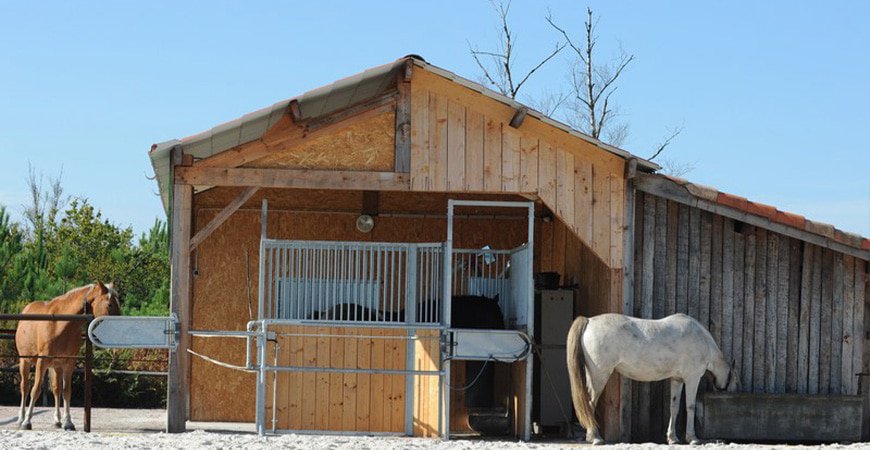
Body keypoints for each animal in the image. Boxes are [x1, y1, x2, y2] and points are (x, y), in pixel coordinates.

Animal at [15, 284, 121, 430]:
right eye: (110, 304)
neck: (60, 324)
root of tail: (27, 308)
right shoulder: (42, 362)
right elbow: (35, 390)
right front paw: (27, 422)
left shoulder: (68, 363)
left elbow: (66, 391)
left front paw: (68, 422)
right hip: (24, 361)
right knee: (24, 387)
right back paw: (21, 419)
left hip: (56, 366)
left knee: (56, 389)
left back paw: (57, 420)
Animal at [568, 314, 740, 444]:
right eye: (736, 380)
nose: (734, 393)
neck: (702, 339)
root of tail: (589, 321)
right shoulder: (692, 378)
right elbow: (690, 407)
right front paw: (692, 438)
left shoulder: (677, 379)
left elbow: (674, 407)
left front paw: (673, 438)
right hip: (599, 376)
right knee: (589, 403)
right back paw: (595, 438)